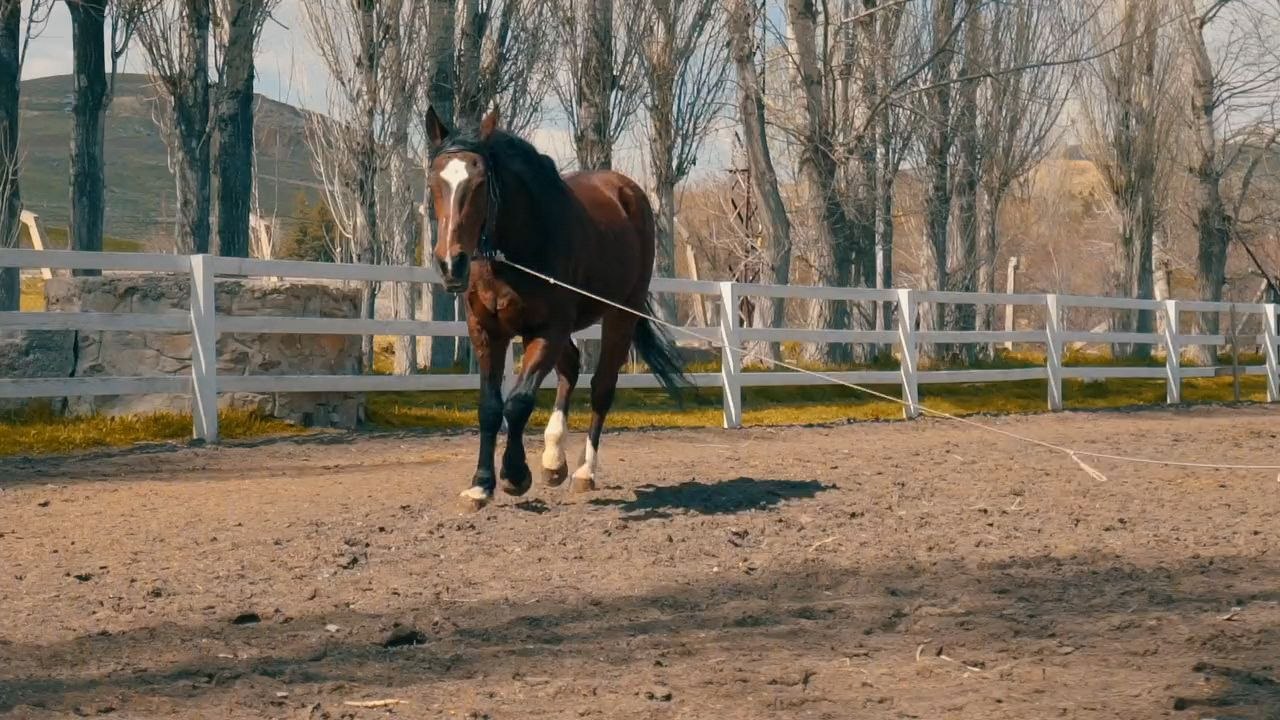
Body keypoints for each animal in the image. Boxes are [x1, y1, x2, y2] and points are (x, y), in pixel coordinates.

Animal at [424, 106, 689, 512]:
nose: (450, 264)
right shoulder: (486, 331)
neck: (515, 250)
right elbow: (490, 406)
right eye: (433, 181)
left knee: (601, 387)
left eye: (481, 181)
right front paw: (481, 485)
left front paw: (515, 475)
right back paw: (553, 461)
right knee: (571, 368)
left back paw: (583, 472)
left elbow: (517, 403)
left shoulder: (547, 331)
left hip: (620, 315)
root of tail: (625, 190)